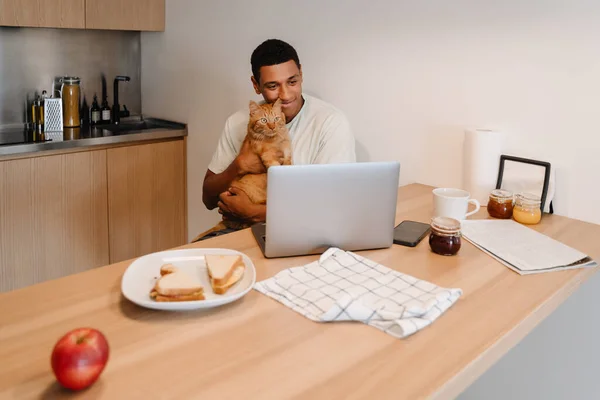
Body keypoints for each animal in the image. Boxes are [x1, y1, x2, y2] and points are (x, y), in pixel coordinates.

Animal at [223, 97, 292, 228]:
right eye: (264, 120)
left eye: (276, 118)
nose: (272, 127)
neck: (275, 140)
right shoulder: (268, 157)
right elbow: (275, 166)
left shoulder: (287, 150)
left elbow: (289, 163)